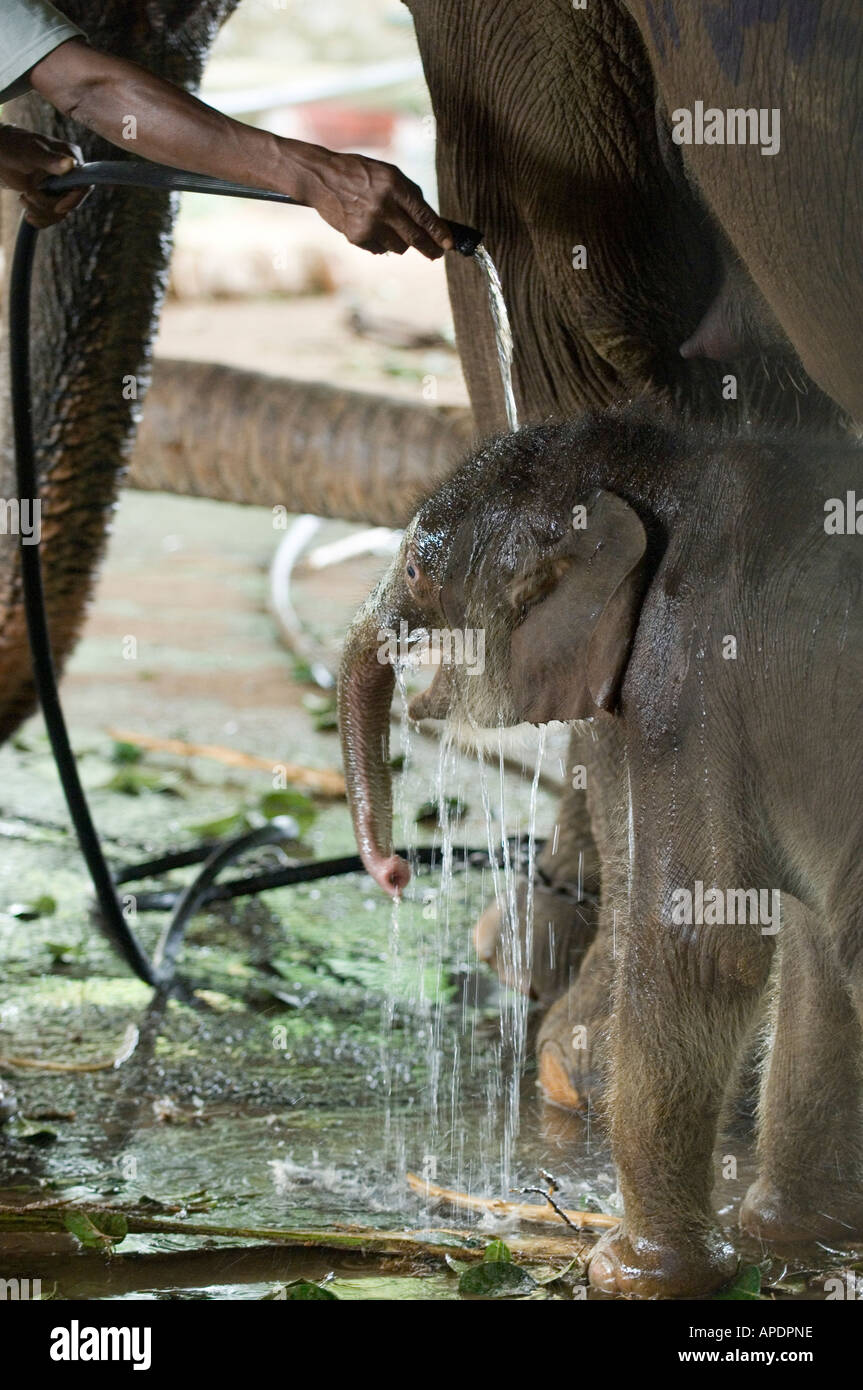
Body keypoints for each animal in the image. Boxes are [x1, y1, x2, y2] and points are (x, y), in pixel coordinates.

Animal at [338, 403, 863, 1297]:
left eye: (413, 569)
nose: (395, 870)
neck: (664, 468)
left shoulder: (687, 677)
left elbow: (701, 943)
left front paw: (632, 1272)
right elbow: (806, 946)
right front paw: (789, 1235)